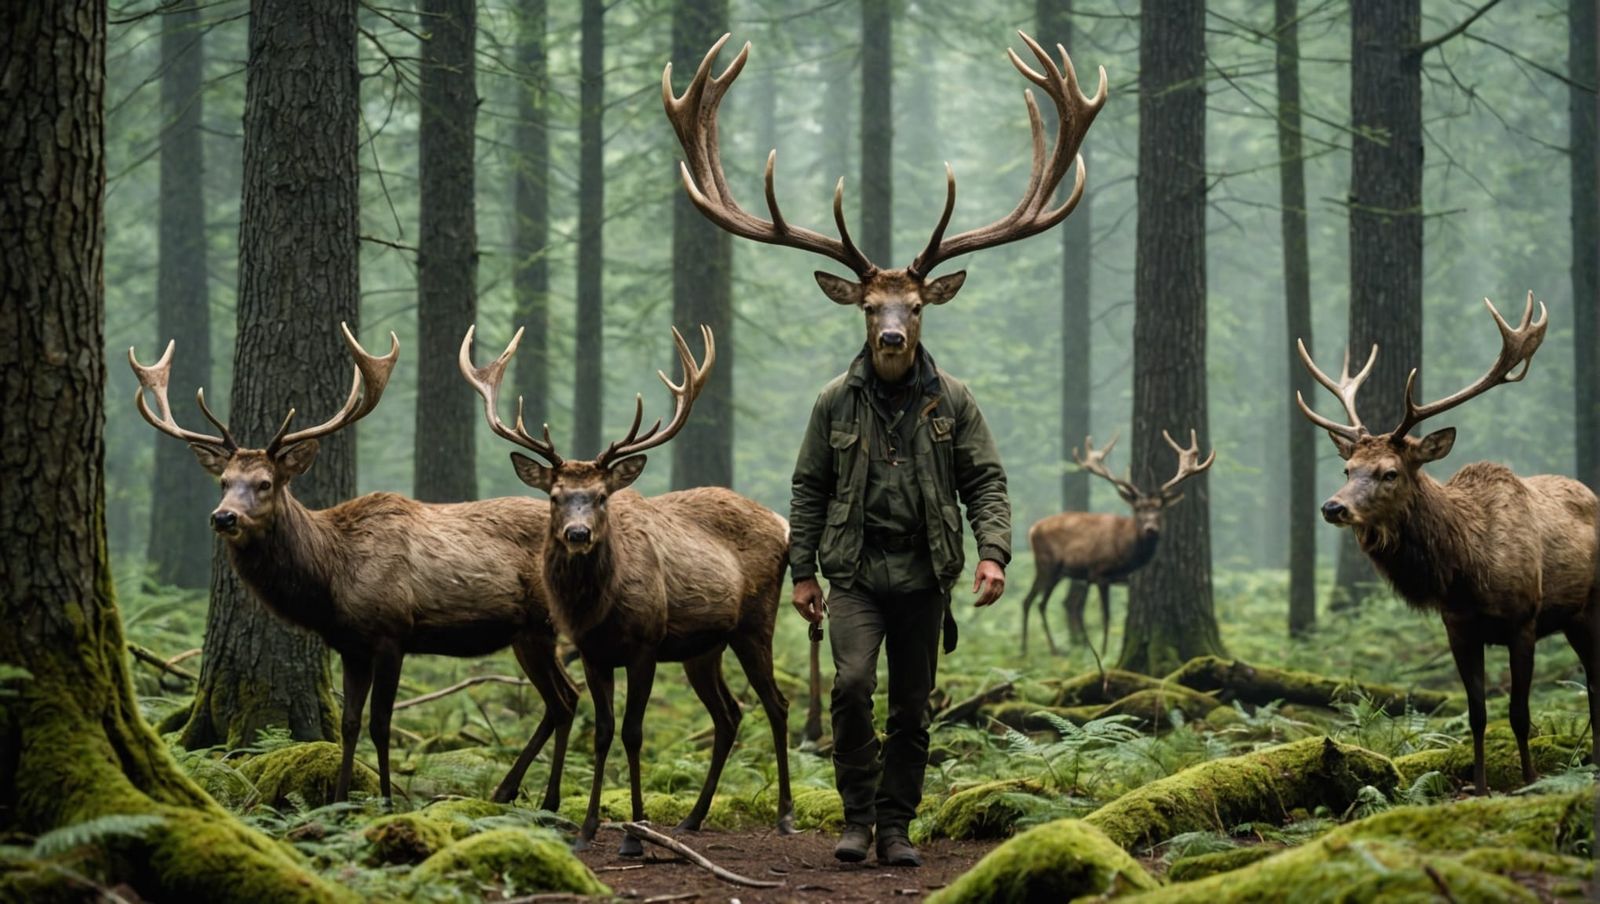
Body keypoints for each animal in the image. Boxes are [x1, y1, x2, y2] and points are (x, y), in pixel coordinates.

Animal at [129, 324, 580, 809]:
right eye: (224, 482)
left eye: (265, 483)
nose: (223, 517)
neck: (331, 579)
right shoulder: (350, 643)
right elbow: (348, 724)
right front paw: (341, 799)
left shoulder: (391, 632)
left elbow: (380, 724)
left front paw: (385, 801)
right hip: (525, 633)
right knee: (566, 700)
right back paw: (516, 793)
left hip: (538, 626)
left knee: (564, 700)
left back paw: (538, 798)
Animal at [460, 323, 794, 856]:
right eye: (554, 497)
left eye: (600, 497)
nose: (578, 534)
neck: (601, 609)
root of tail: (782, 524)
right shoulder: (593, 652)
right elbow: (603, 732)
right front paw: (588, 829)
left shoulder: (645, 645)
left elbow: (634, 733)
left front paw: (637, 832)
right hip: (704, 648)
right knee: (730, 714)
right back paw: (693, 818)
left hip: (755, 623)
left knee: (776, 706)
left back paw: (784, 814)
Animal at [1019, 430, 1215, 657]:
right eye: (1138, 509)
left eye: (1160, 509)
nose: (1151, 528)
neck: (1126, 551)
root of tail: (1033, 529)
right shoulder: (1099, 573)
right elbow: (1107, 616)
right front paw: (1104, 653)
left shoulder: (1120, 578)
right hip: (1046, 564)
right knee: (1032, 601)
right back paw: (1031, 651)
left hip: (1062, 573)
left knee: (1048, 603)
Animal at [1296, 293, 1599, 796]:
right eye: (1347, 469)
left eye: (1390, 472)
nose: (1332, 507)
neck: (1467, 571)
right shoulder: (1457, 627)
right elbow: (1476, 715)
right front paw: (1478, 786)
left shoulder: (1524, 621)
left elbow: (1519, 714)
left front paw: (1530, 781)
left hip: (1588, 608)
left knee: (1593, 681)